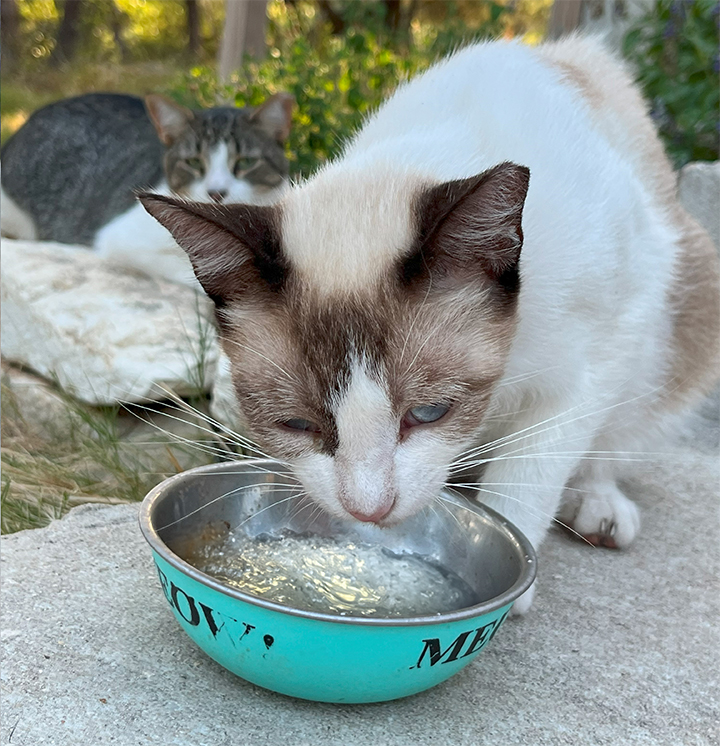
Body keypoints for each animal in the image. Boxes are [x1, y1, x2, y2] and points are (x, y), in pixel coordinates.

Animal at [141, 36, 720, 612]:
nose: (369, 511)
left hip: (672, 323)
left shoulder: (604, 348)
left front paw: (515, 593)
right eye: (296, 424)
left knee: (619, 434)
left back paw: (601, 507)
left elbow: (528, 474)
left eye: (429, 413)